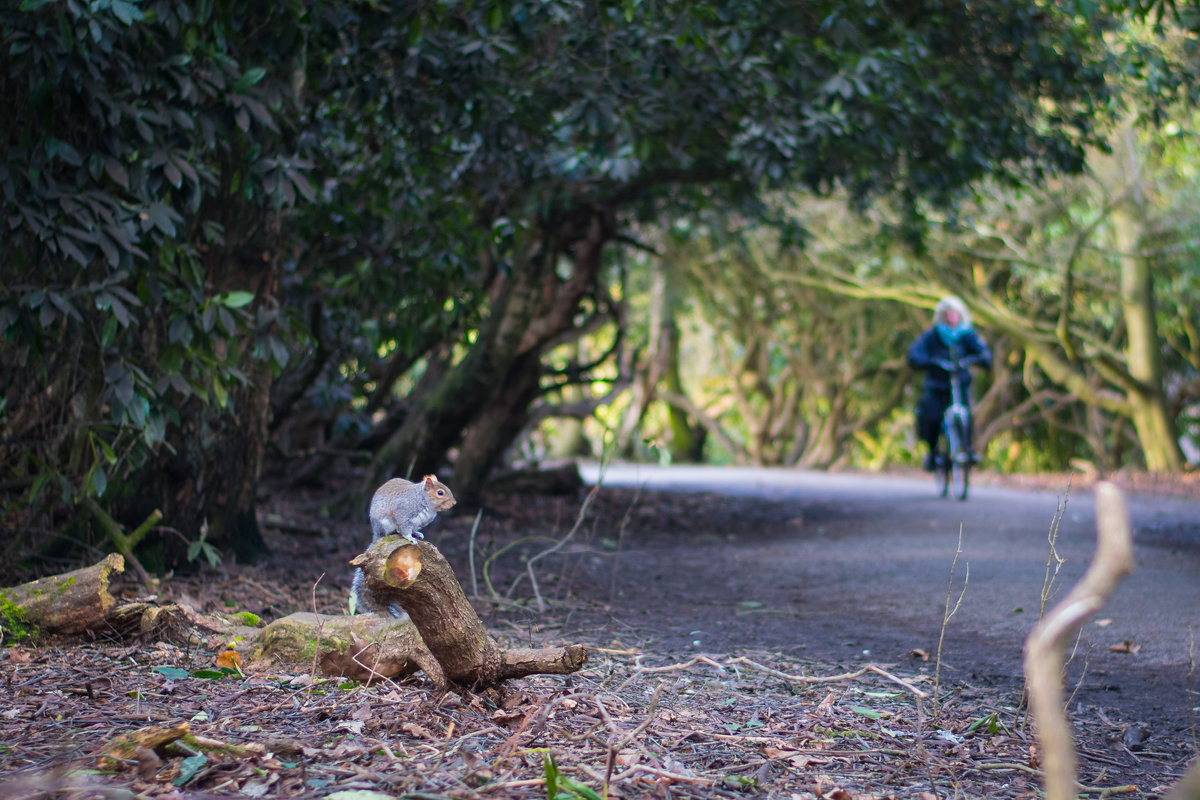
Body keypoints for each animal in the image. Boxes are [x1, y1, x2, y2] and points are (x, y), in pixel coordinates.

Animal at [350, 474, 458, 618]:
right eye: (440, 492)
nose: (454, 503)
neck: (424, 501)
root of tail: (376, 533)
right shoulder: (404, 513)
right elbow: (405, 529)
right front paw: (410, 538)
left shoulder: (418, 523)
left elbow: (414, 529)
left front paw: (417, 534)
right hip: (385, 523)